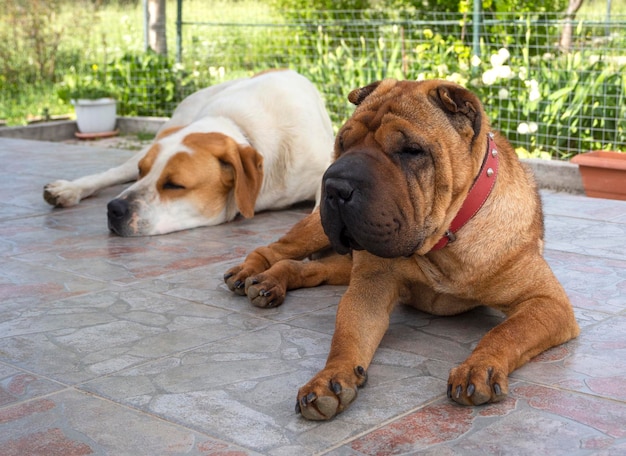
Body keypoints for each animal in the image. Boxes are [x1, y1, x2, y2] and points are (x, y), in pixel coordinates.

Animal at [42, 71, 336, 237]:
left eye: (174, 185)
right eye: (142, 172)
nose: (114, 209)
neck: (241, 128)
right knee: (114, 172)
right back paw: (69, 189)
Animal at [222, 77, 576, 420]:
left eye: (411, 150)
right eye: (343, 143)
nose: (335, 185)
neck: (443, 242)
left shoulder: (546, 302)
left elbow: (506, 332)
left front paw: (478, 367)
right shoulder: (370, 288)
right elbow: (346, 336)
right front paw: (329, 377)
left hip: (342, 266)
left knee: (308, 268)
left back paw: (272, 282)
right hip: (316, 232)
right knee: (275, 249)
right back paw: (251, 273)